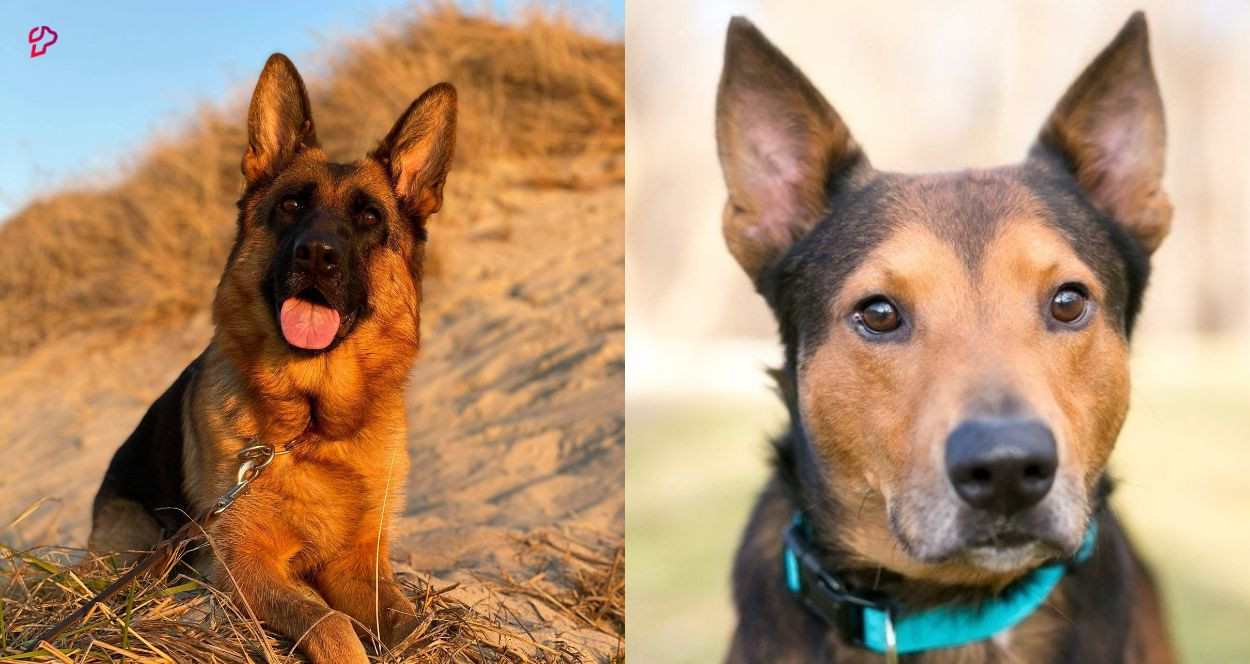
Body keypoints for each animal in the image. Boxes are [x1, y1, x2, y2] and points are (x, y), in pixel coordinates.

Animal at [89, 54, 460, 660]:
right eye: (291, 205)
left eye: (369, 219)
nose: (316, 255)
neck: (312, 427)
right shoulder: (243, 564)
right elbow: (330, 623)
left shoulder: (361, 565)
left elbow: (410, 624)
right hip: (139, 548)